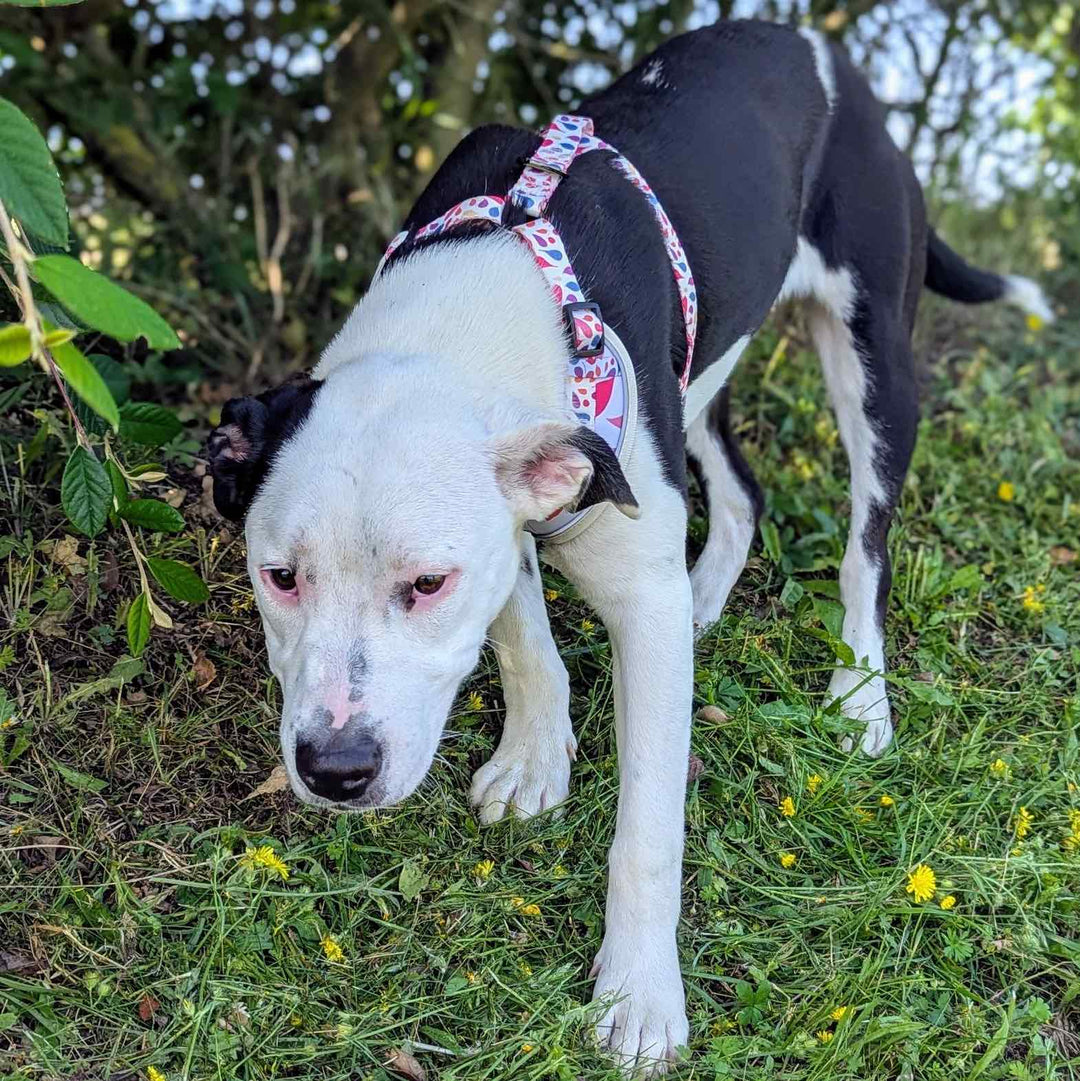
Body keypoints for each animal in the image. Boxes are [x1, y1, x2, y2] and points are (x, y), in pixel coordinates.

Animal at [206, 21, 1050, 1076]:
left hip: (874, 355)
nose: (334, 768)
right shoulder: (532, 501)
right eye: (278, 576)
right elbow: (524, 635)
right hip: (699, 378)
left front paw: (641, 995)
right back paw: (709, 595)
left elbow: (647, 827)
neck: (472, 317)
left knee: (866, 541)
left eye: (428, 583)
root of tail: (826, 53)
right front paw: (535, 759)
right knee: (740, 489)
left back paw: (859, 691)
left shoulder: (616, 572)